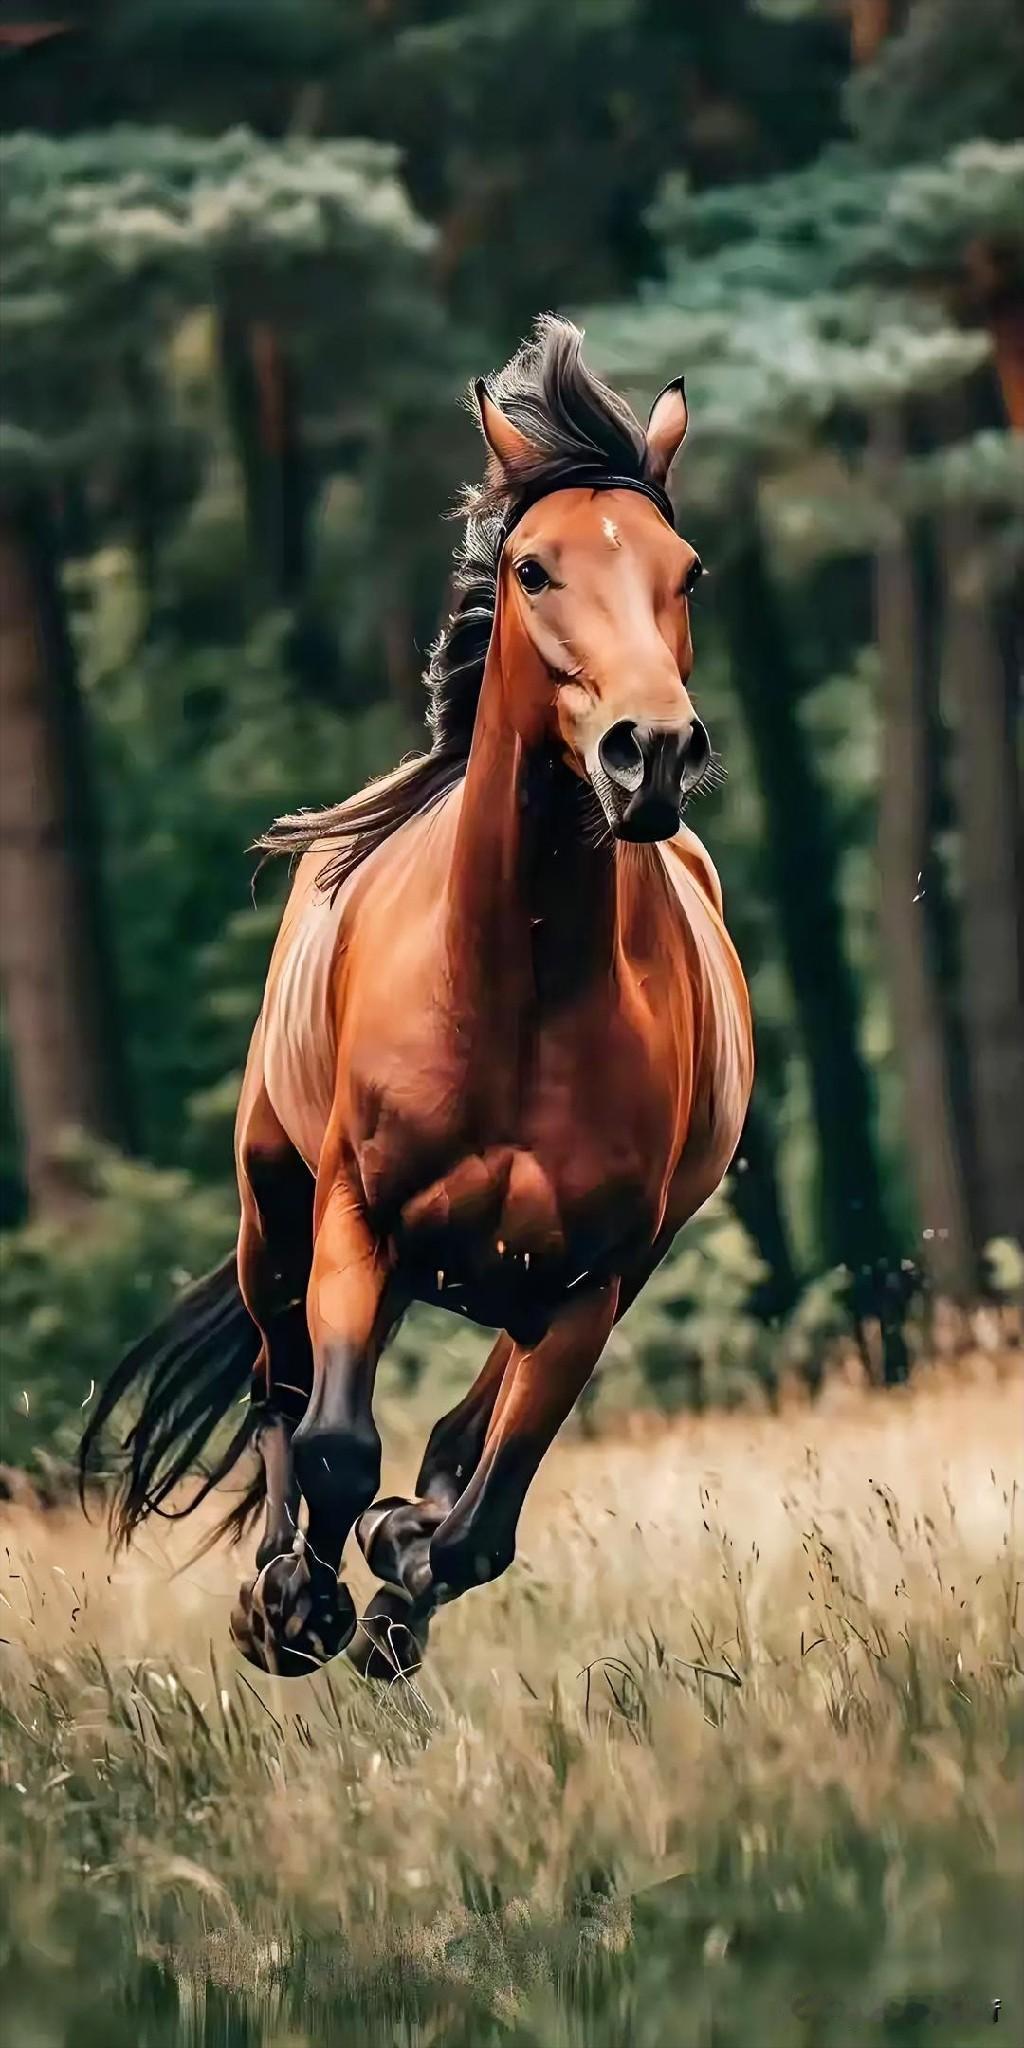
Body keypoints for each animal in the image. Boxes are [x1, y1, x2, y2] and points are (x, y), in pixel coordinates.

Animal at [81, 316, 753, 1680]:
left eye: (690, 572)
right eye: (535, 569)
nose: (650, 752)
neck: (520, 990)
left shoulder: (588, 1282)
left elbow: (478, 1513)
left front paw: (395, 1579)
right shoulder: (357, 1215)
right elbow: (334, 1442)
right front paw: (293, 1606)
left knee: (452, 1435)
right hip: (273, 1211)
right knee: (283, 1392)